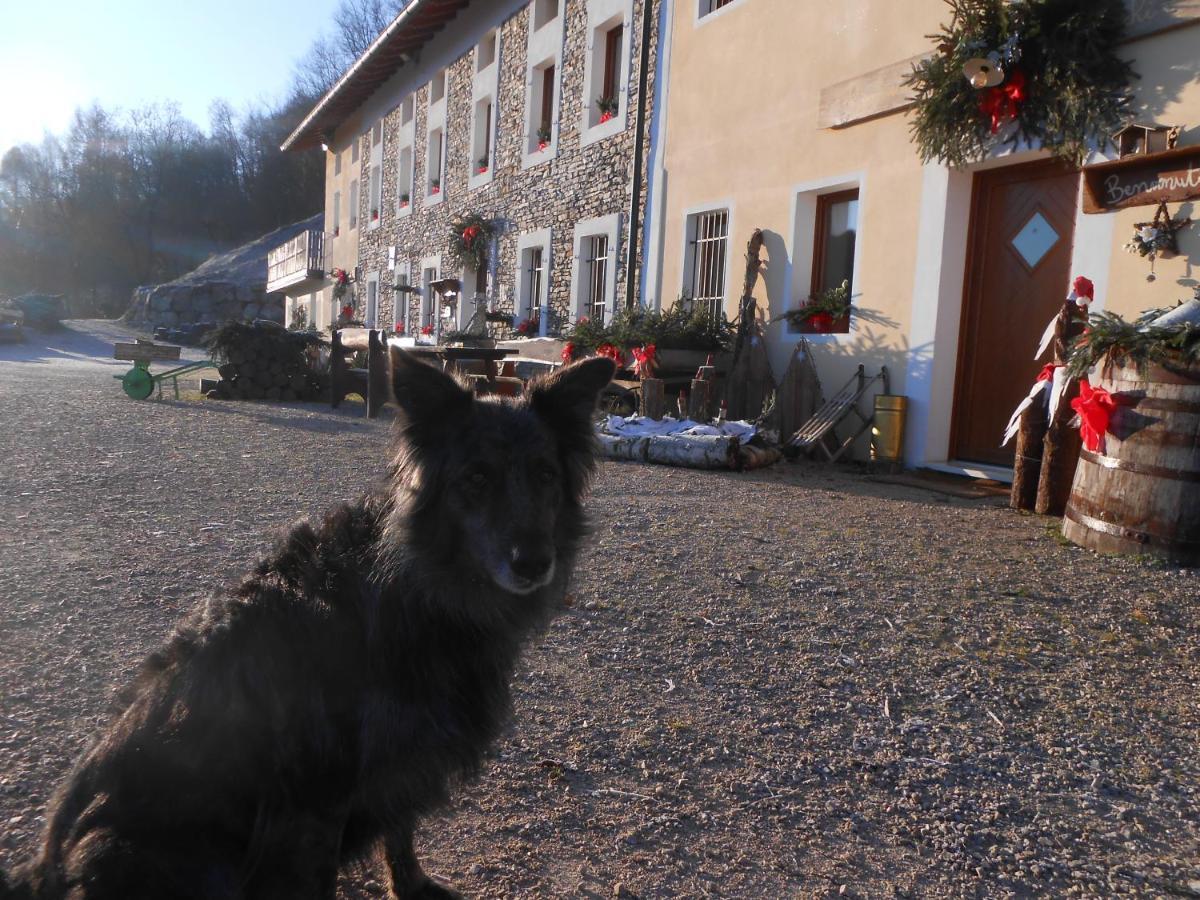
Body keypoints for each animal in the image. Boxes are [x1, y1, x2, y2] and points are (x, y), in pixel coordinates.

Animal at [0, 355, 614, 900]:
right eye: (476, 478)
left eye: (545, 475)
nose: (534, 563)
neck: (414, 586)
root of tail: (41, 871)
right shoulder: (316, 801)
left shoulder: (396, 766)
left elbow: (400, 832)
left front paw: (412, 887)